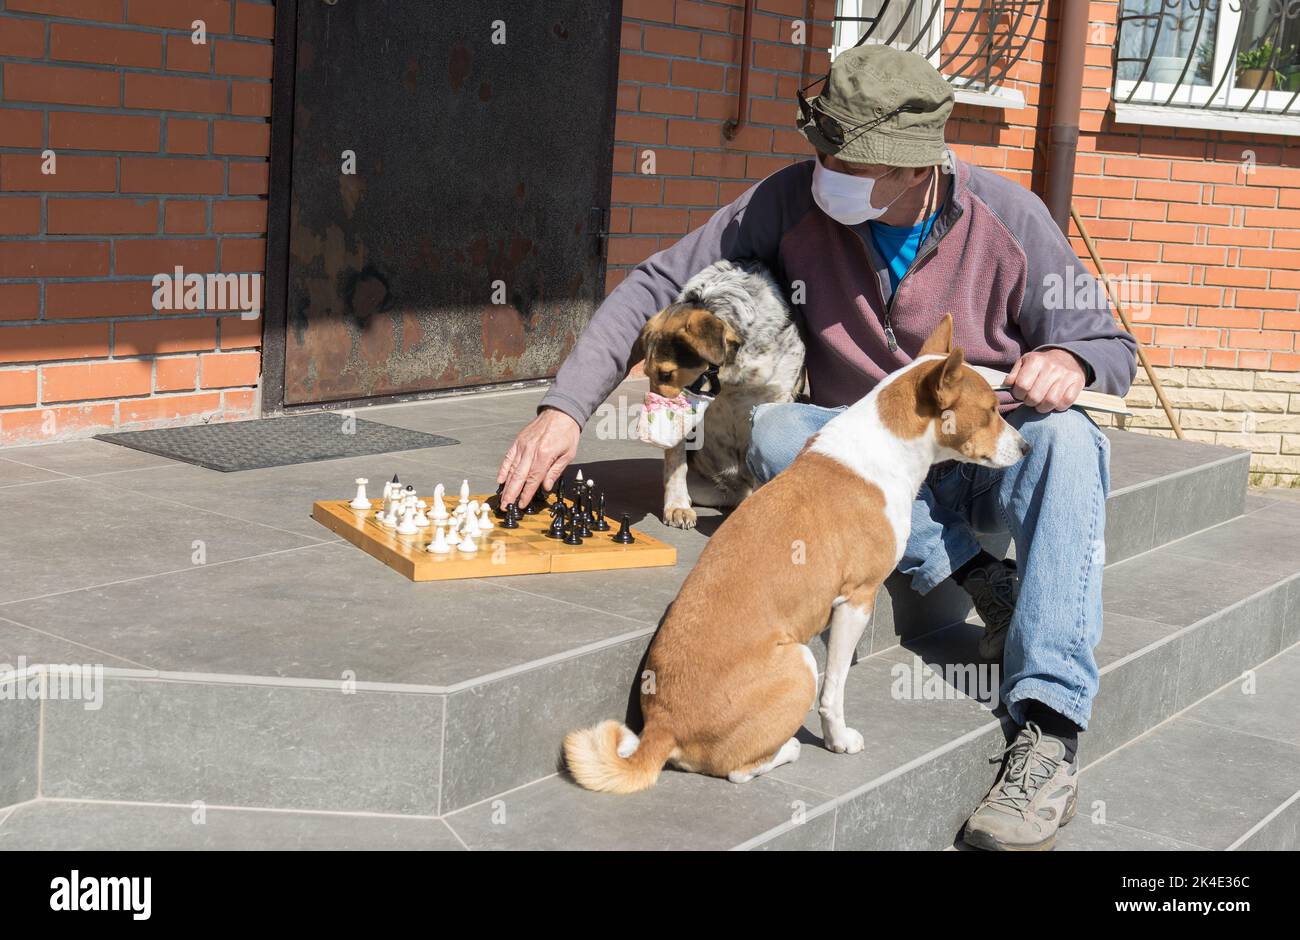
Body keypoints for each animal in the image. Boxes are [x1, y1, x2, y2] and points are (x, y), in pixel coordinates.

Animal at [564, 318, 1029, 795]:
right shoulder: (856, 599)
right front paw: (839, 739)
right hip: (799, 661)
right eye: (991, 410)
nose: (1026, 448)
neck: (885, 447)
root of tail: (661, 728)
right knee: (739, 768)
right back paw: (789, 748)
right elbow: (834, 690)